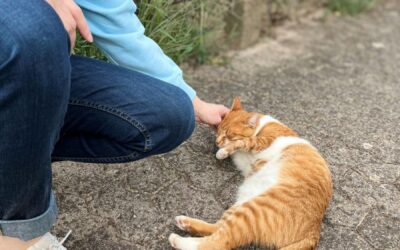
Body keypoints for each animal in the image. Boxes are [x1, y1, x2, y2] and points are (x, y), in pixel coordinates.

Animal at [168, 97, 332, 250]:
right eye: (219, 131)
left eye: (229, 134)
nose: (217, 142)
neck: (262, 125)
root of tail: (314, 230)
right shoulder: (243, 159)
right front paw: (223, 150)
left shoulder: (263, 141)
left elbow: (244, 142)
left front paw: (223, 152)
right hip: (243, 204)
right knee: (217, 229)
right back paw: (184, 223)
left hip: (253, 211)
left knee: (218, 242)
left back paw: (178, 240)